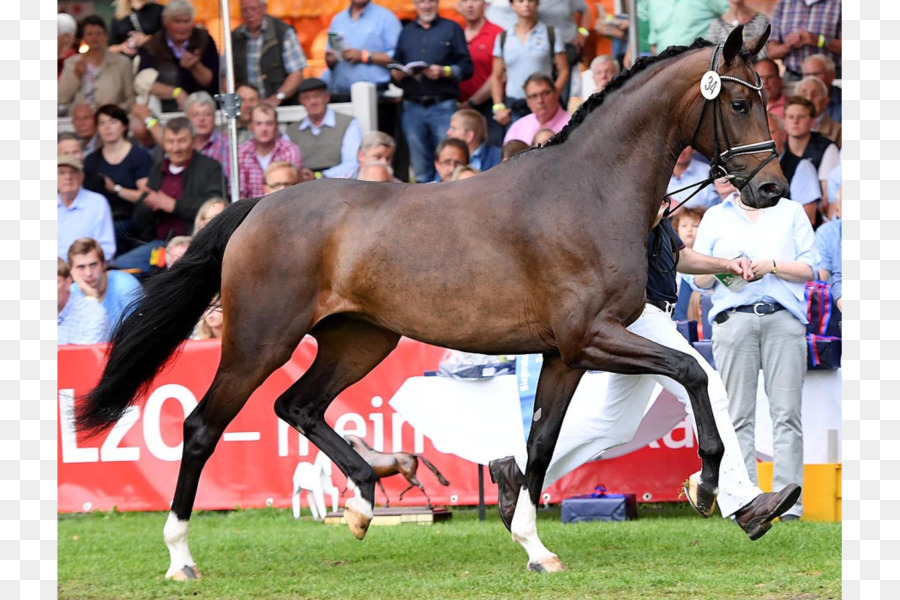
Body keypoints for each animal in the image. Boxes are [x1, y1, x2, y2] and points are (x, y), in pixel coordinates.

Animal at [77, 25, 784, 580]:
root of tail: (256, 206)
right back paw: (181, 557)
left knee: (297, 405)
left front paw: (535, 546)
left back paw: (367, 496)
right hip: (259, 342)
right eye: (740, 101)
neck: (588, 191)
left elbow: (540, 442)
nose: (773, 188)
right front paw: (705, 483)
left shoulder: (566, 354)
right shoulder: (592, 336)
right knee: (203, 427)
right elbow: (691, 371)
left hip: (360, 340)